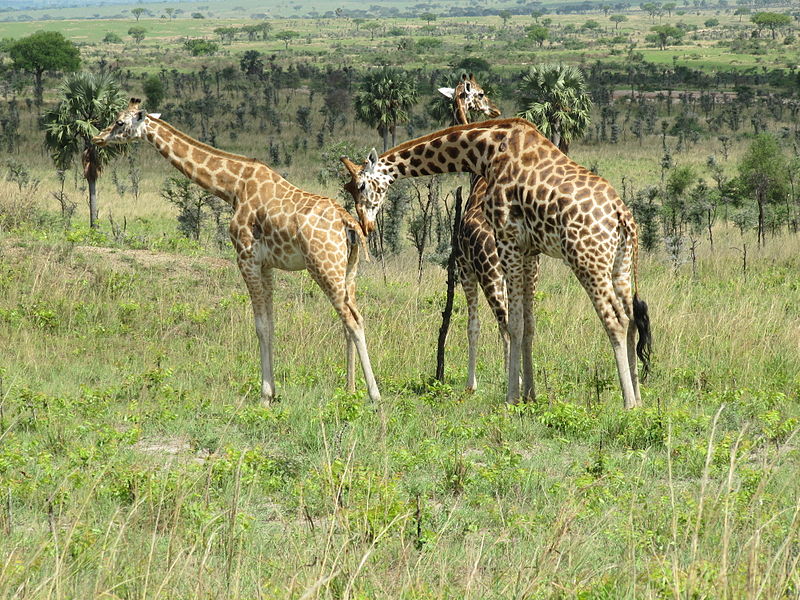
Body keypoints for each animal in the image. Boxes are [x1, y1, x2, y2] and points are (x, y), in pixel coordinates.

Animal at [94, 99, 382, 404]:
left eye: (120, 122)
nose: (97, 138)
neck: (232, 187)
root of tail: (348, 222)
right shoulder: (266, 264)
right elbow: (271, 323)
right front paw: (272, 392)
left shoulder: (245, 257)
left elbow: (260, 326)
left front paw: (265, 396)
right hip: (349, 269)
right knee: (350, 318)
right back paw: (350, 390)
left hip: (323, 265)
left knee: (353, 319)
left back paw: (375, 396)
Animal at [342, 118, 648, 408]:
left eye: (361, 186)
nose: (366, 225)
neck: (486, 151)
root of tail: (622, 216)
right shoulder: (529, 249)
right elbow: (528, 323)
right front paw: (530, 395)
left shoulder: (507, 237)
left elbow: (513, 324)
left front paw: (511, 397)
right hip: (620, 264)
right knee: (632, 318)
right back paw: (640, 399)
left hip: (587, 259)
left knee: (616, 320)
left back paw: (628, 403)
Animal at [434, 72, 536, 392]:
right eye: (480, 93)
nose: (494, 109)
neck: (477, 179)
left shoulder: (465, 268)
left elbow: (473, 325)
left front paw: (472, 384)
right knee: (518, 322)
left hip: (489, 273)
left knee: (504, 323)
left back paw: (514, 382)